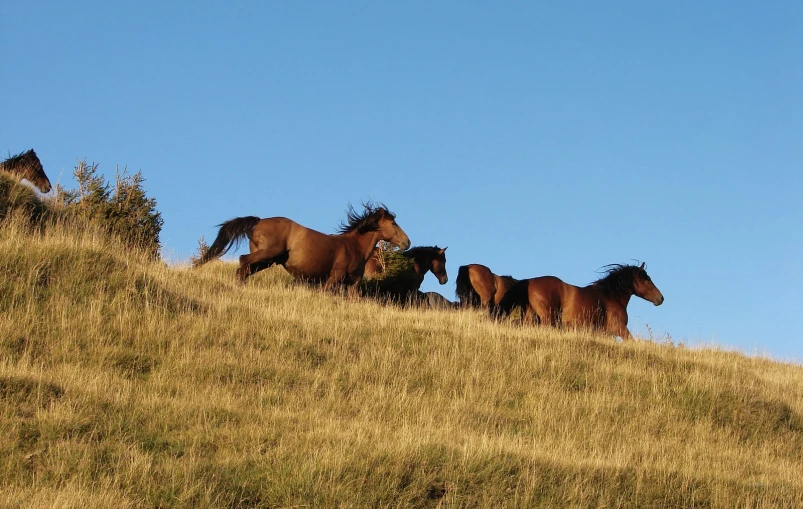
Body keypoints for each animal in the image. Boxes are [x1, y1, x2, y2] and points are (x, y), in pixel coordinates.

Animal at [193, 201, 408, 290]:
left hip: (266, 260)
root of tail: (259, 221)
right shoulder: (334, 277)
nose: (407, 242)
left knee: (245, 267)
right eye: (393, 223)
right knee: (242, 261)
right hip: (266, 254)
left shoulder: (352, 282)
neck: (352, 246)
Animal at [496, 262, 664, 342]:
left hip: (530, 316)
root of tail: (529, 282)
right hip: (547, 318)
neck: (610, 296)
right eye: (647, 279)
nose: (660, 299)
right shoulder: (620, 329)